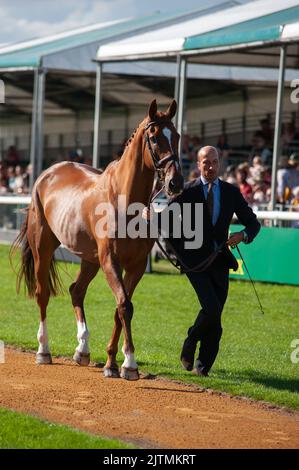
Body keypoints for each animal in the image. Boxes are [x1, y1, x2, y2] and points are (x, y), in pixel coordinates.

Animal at [12, 100, 184, 382]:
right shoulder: (110, 261)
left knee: (76, 290)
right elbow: (124, 305)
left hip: (90, 259)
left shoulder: (135, 266)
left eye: (177, 136)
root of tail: (46, 174)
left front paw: (113, 363)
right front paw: (130, 364)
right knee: (42, 294)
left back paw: (82, 349)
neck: (124, 201)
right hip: (43, 248)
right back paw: (44, 350)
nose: (175, 182)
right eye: (154, 137)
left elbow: (121, 308)